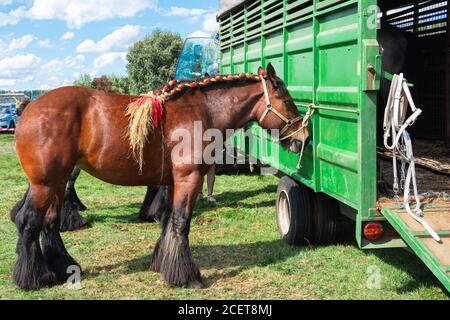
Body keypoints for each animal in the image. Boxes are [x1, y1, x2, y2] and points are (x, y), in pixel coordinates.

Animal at [10, 63, 308, 288]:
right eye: (287, 100)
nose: (303, 137)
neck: (202, 111)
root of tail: (29, 110)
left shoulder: (173, 182)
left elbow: (167, 220)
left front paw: (162, 263)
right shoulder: (189, 178)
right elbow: (181, 222)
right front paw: (186, 276)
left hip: (56, 183)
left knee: (49, 223)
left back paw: (64, 268)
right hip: (45, 183)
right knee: (29, 221)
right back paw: (34, 278)